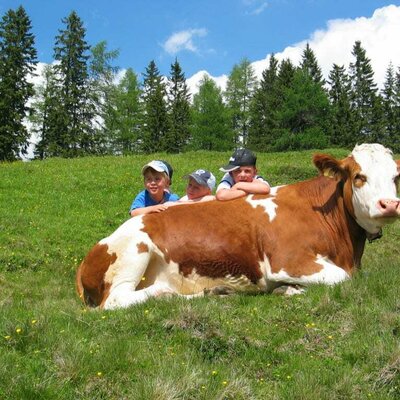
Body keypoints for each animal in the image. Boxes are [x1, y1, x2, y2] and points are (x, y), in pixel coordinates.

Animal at [76, 144, 400, 310]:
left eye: (395, 176)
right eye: (359, 176)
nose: (389, 204)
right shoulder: (288, 261)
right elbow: (342, 278)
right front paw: (289, 290)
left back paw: (213, 292)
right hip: (134, 251)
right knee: (115, 301)